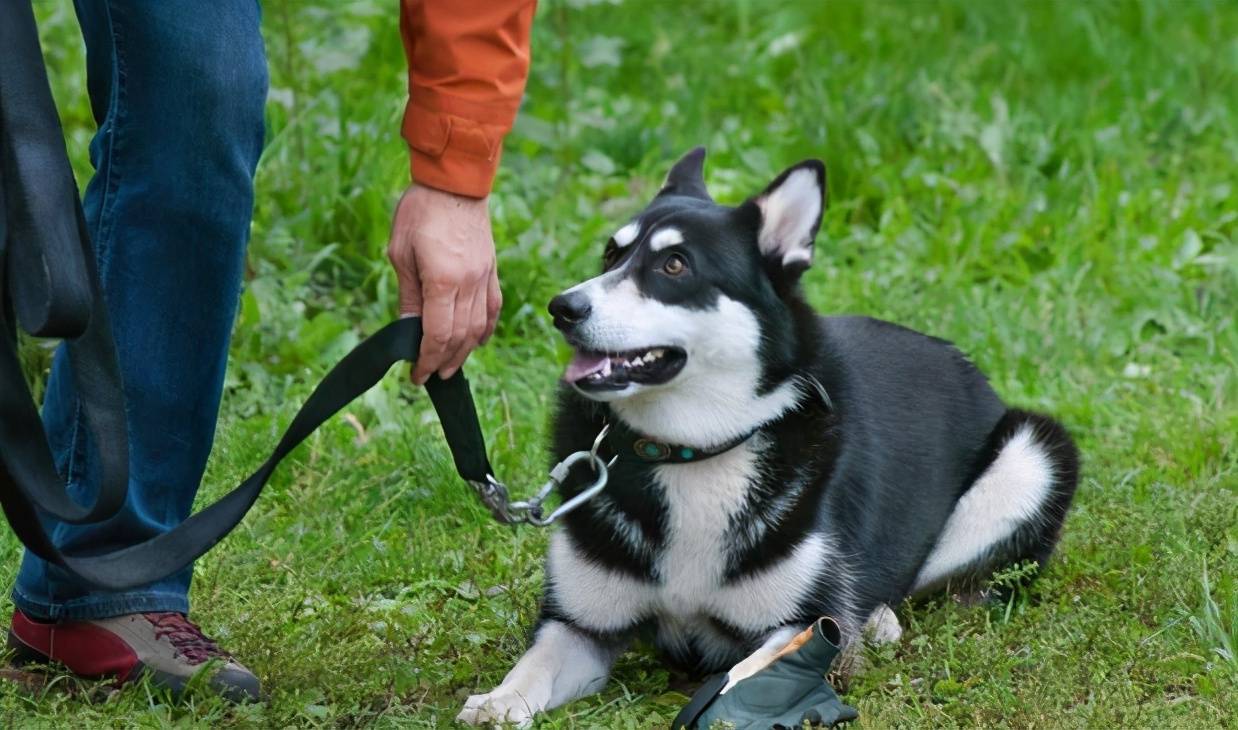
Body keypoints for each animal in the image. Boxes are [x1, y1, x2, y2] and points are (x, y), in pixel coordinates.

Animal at [460, 147, 1079, 727]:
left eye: (675, 264)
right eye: (612, 255)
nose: (562, 307)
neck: (692, 453)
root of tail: (961, 359)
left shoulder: (799, 627)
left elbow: (744, 673)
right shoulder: (578, 625)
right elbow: (534, 663)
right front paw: (498, 701)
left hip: (1033, 456)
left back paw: (876, 616)